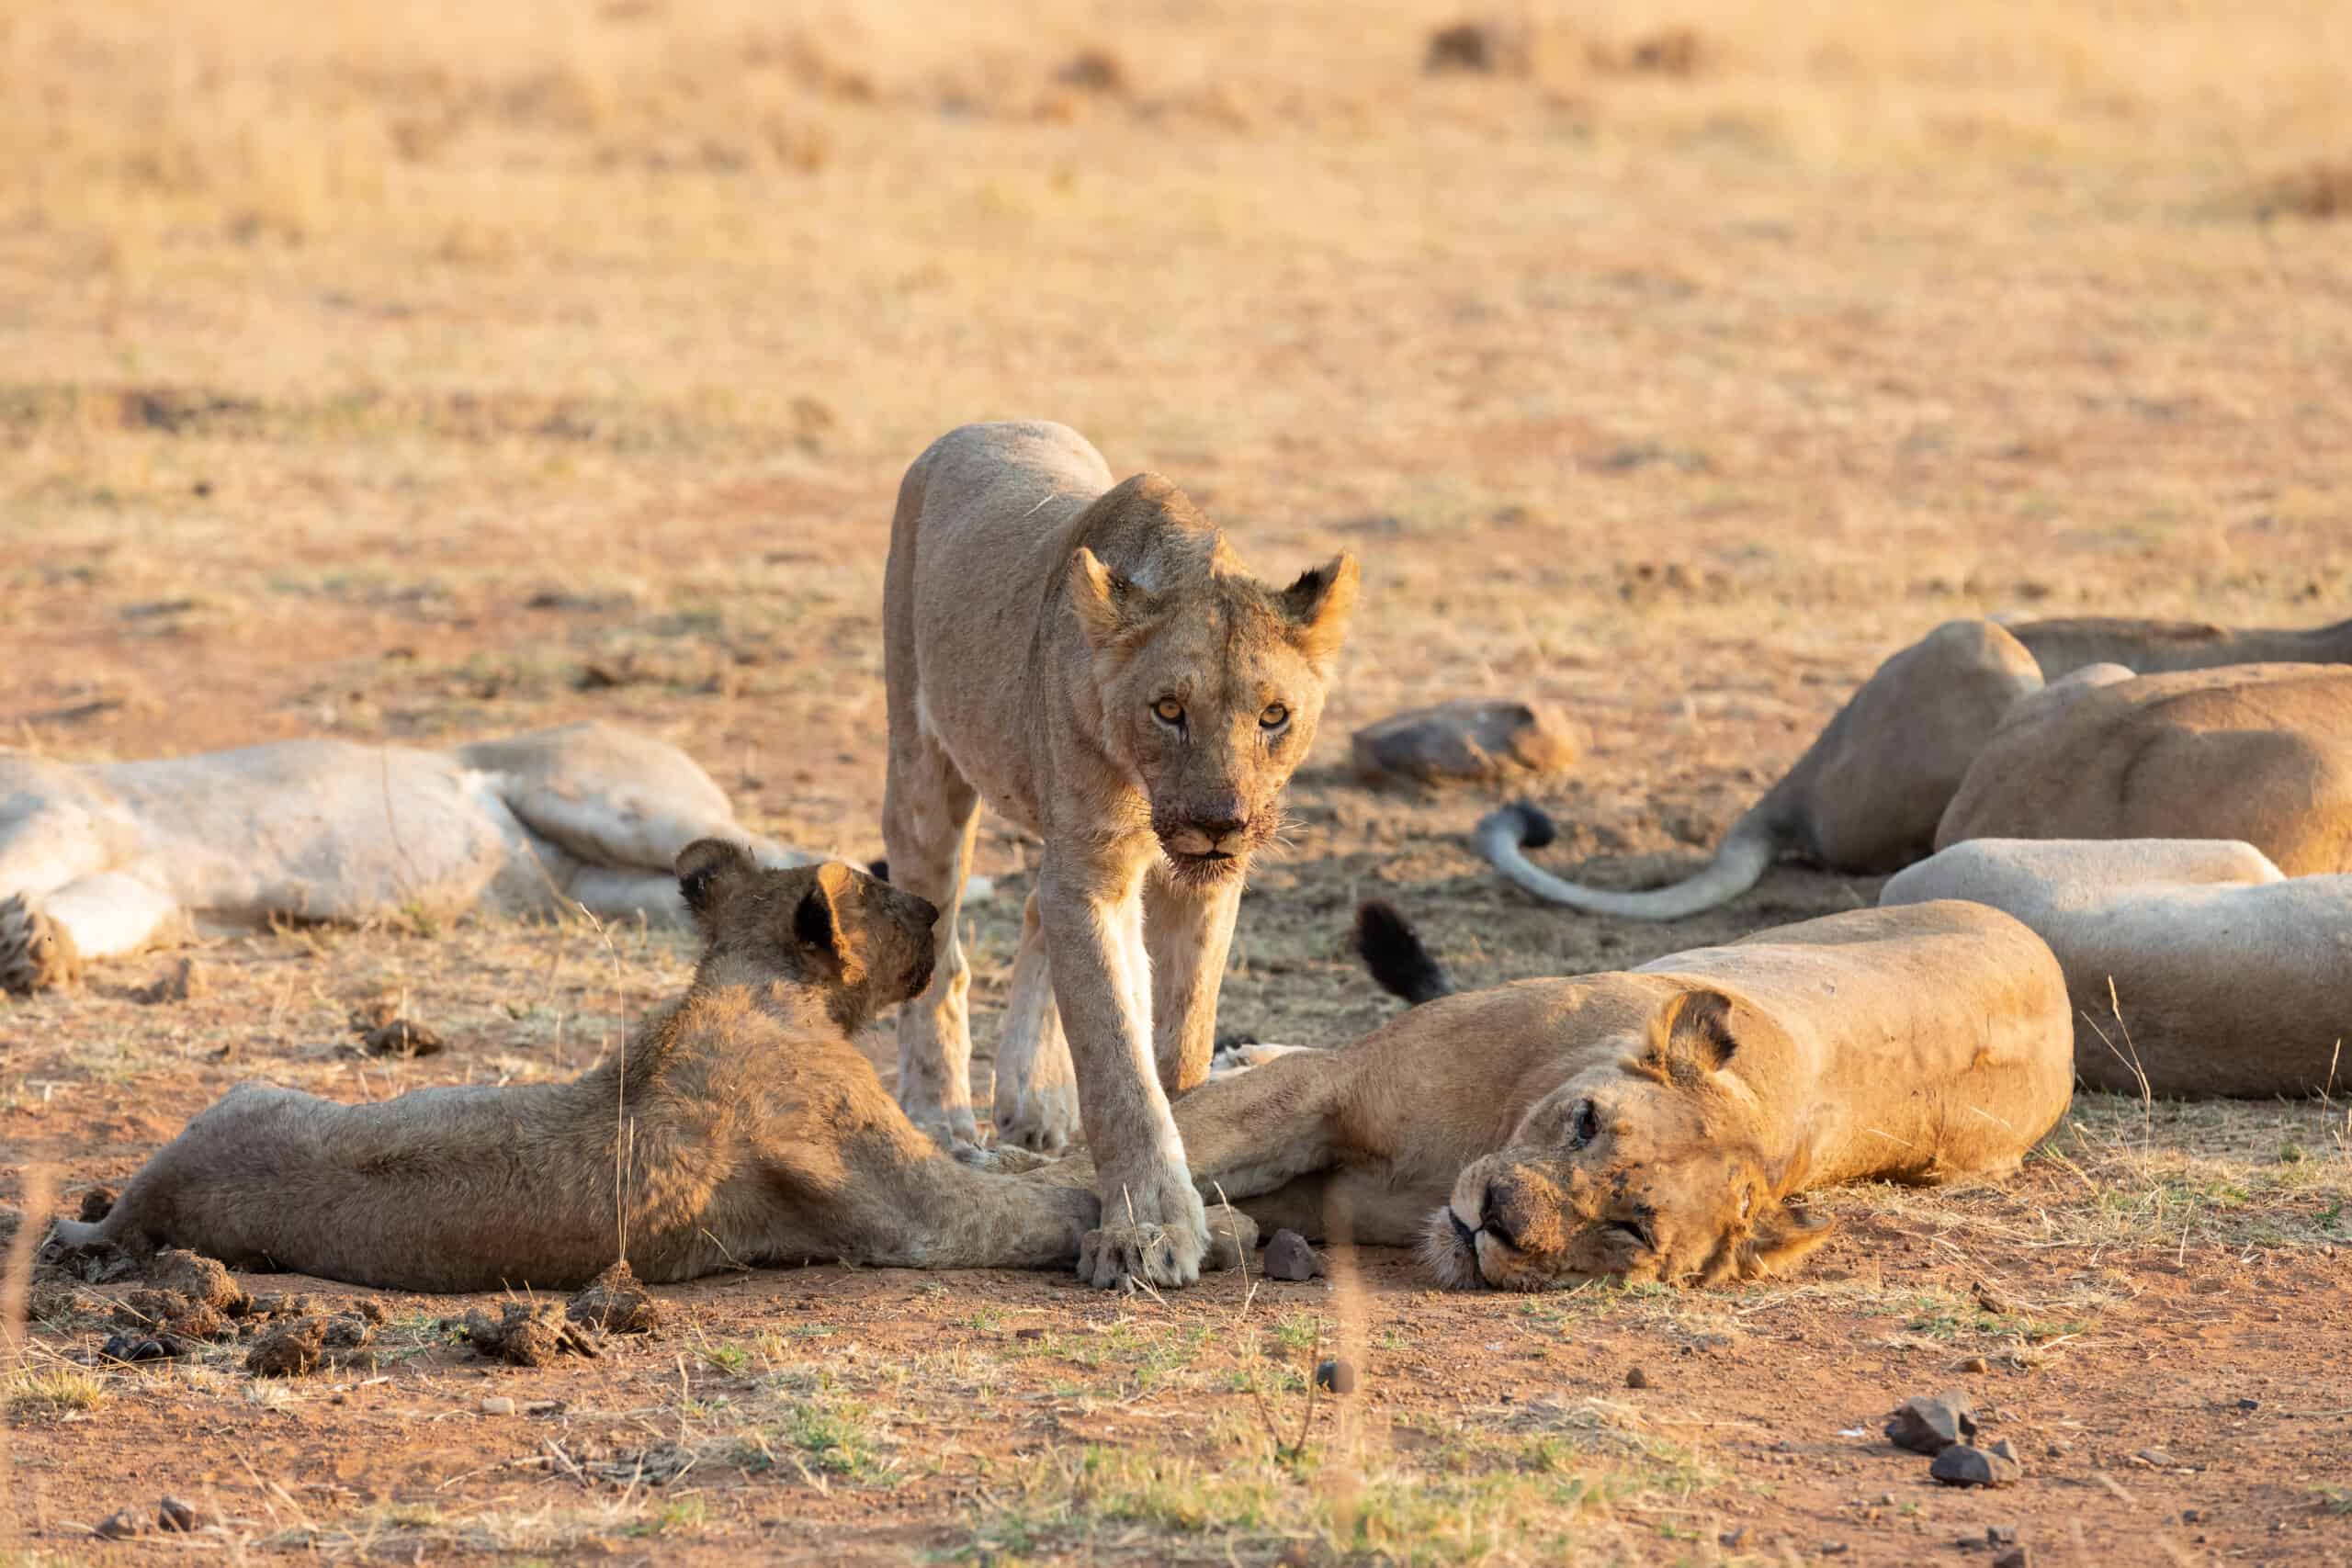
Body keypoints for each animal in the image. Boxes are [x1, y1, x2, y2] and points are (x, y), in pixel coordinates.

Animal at [0, 721, 904, 996]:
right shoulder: (142, 881)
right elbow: (94, 913)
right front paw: (36, 948)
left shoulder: (66, 810)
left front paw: (22, 940)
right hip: (608, 890)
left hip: (610, 800)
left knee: (785, 848)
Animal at [42, 846, 1111, 1291]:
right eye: (883, 887)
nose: (931, 907)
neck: (755, 980)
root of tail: (142, 1204)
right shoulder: (911, 1210)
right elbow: (1039, 1205)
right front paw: (1138, 1227)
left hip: (250, 1095)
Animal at [880, 421, 1356, 1290]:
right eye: (1168, 709)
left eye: (1274, 715)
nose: (1220, 823)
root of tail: (980, 427)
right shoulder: (1092, 873)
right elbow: (1115, 1058)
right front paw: (1147, 1228)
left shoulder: (1201, 887)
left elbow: (1181, 1042)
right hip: (922, 758)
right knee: (942, 948)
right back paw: (944, 1120)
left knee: (1032, 908)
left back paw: (1033, 1103)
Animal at [1072, 898, 2075, 1289]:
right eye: (1586, 1123)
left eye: (1628, 1228)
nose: (1493, 1218)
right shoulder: (1334, 1086)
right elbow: (1181, 1139)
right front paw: (1137, 1230)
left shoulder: (1333, 1195)